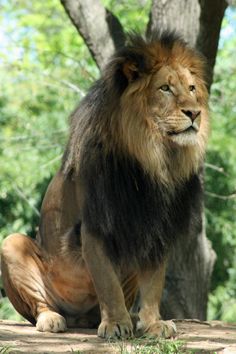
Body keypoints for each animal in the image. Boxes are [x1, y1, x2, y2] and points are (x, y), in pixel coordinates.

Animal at [0, 31, 209, 340]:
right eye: (165, 89)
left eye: (192, 88)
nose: (194, 113)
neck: (151, 158)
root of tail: (79, 317)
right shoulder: (96, 225)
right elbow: (107, 282)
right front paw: (115, 325)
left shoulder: (155, 227)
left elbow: (154, 284)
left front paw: (153, 324)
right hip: (12, 244)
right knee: (40, 306)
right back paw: (53, 319)